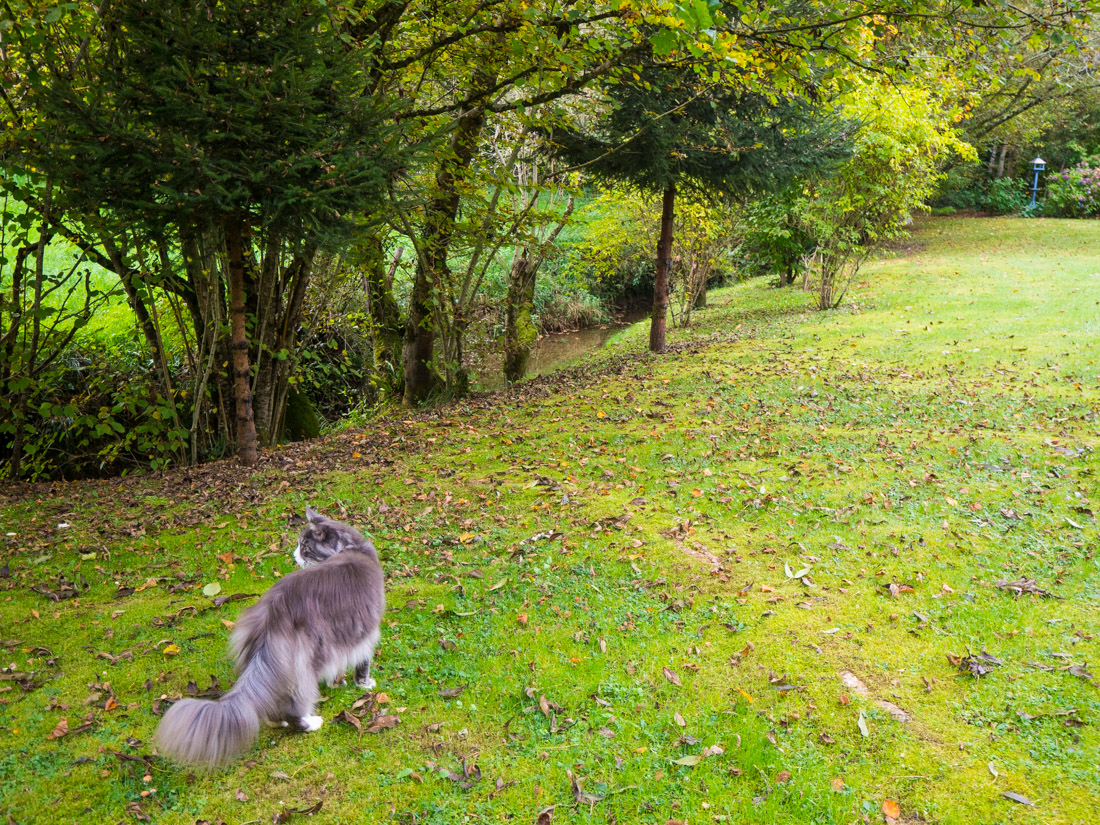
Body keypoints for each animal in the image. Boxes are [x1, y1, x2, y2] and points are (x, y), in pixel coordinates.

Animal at [154, 508, 387, 774]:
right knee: (295, 703)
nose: (294, 554)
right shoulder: (366, 630)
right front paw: (364, 684)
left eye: (304, 546)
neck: (352, 548)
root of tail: (273, 613)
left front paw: (337, 683)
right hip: (307, 660)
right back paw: (309, 723)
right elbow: (363, 662)